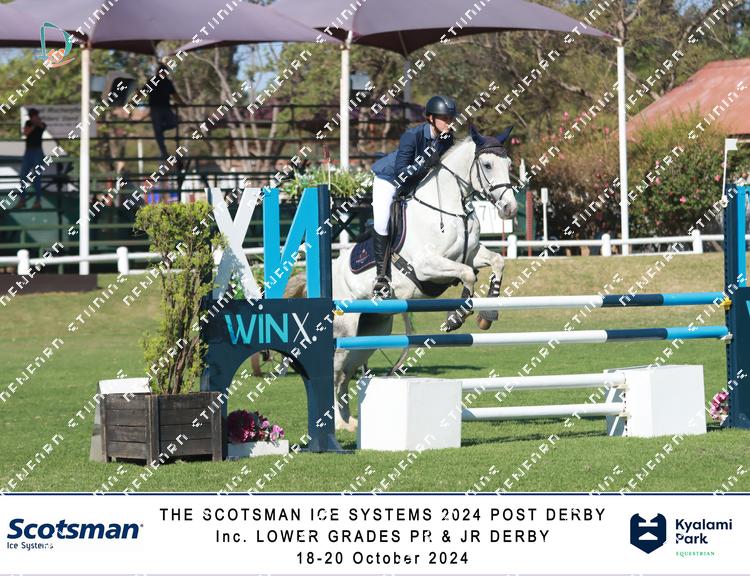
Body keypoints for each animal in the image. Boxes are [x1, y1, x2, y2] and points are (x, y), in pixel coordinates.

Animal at [331, 125, 518, 431]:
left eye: (510, 164)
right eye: (488, 165)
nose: (510, 209)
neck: (451, 209)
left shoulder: (470, 254)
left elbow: (497, 262)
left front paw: (487, 315)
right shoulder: (427, 266)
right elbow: (468, 275)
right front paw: (455, 318)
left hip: (371, 331)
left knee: (346, 373)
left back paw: (349, 422)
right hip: (345, 329)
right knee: (336, 371)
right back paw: (337, 423)